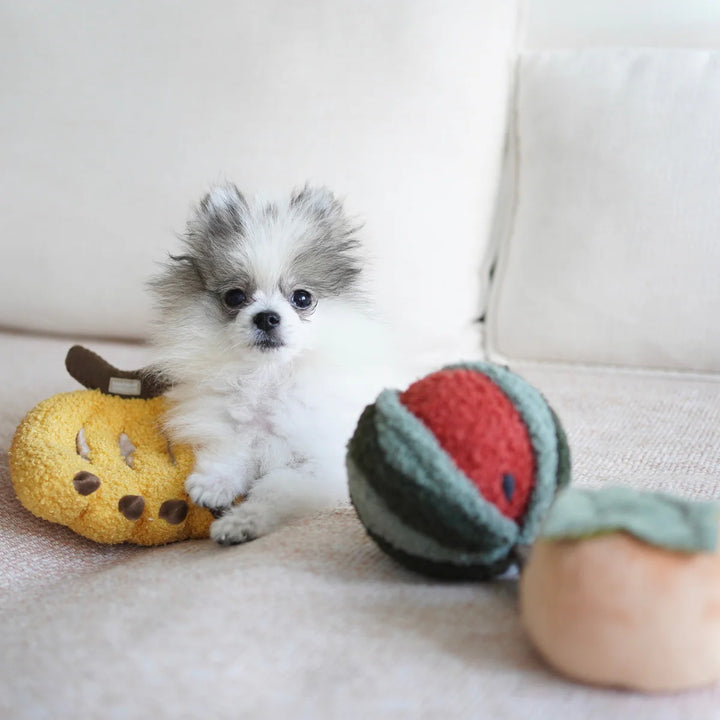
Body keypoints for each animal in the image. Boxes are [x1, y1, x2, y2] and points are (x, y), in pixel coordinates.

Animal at [150, 183, 396, 544]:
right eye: (235, 297)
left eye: (302, 298)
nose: (266, 317)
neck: (267, 377)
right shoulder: (235, 433)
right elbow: (230, 453)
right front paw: (214, 484)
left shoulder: (315, 463)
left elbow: (275, 490)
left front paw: (242, 521)